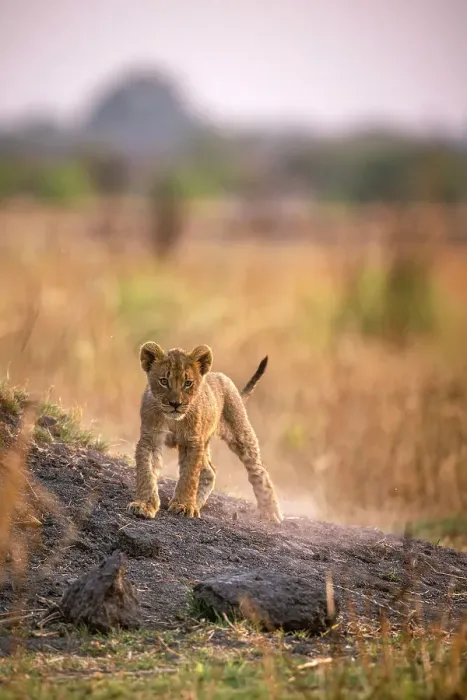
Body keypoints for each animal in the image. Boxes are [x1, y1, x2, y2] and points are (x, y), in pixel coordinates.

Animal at [128, 343, 282, 523]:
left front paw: (184, 505)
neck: (174, 420)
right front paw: (144, 505)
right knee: (210, 471)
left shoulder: (193, 442)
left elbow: (189, 476)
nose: (175, 404)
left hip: (240, 433)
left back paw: (271, 512)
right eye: (164, 381)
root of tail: (219, 375)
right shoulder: (151, 439)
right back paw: (197, 502)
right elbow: (146, 473)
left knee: (258, 471)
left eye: (188, 383)